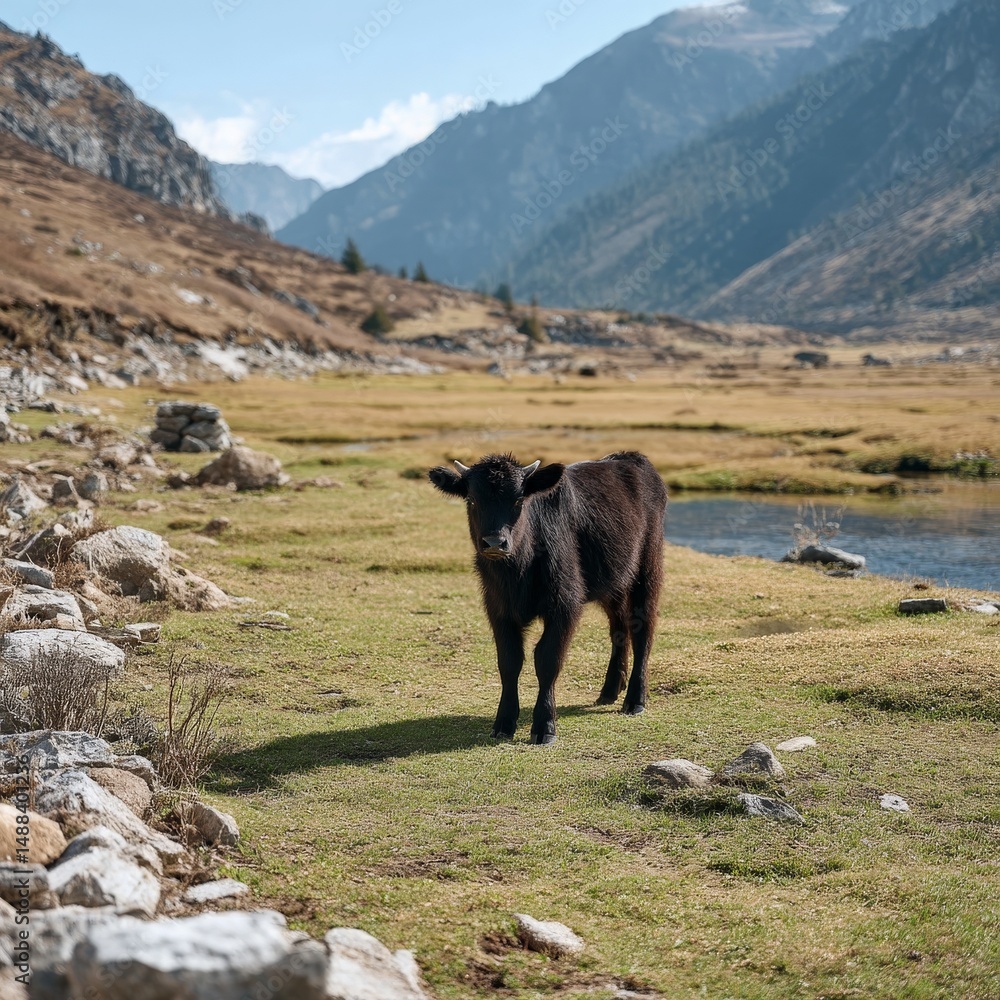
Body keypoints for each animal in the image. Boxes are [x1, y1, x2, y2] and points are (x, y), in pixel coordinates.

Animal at [429, 451, 667, 744]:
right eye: (472, 499)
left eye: (519, 499)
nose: (495, 542)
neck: (517, 573)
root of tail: (630, 458)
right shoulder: (498, 608)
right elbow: (509, 661)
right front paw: (503, 723)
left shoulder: (564, 605)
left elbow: (547, 660)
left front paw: (545, 726)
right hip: (614, 581)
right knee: (619, 628)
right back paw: (610, 690)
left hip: (648, 569)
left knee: (643, 630)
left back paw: (635, 700)